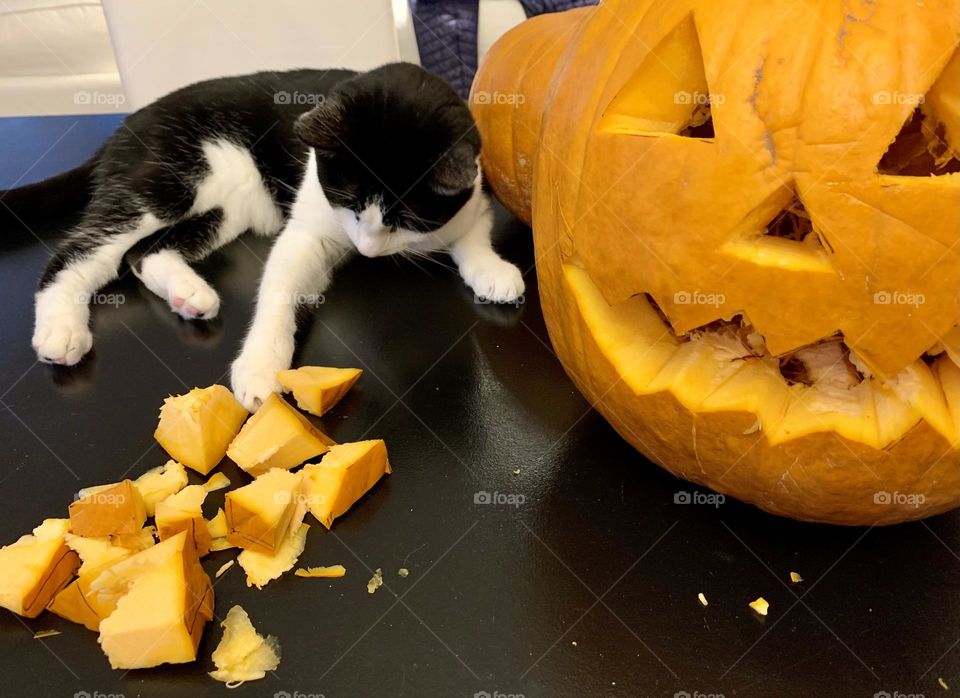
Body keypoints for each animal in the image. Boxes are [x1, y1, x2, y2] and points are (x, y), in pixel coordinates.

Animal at [1, 62, 524, 410]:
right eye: (348, 199)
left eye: (406, 218)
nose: (366, 250)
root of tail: (124, 127)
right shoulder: (308, 228)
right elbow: (280, 287)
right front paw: (260, 363)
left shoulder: (473, 195)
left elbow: (472, 232)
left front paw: (492, 271)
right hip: (164, 180)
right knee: (82, 251)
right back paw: (61, 329)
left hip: (224, 208)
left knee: (145, 253)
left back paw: (189, 294)